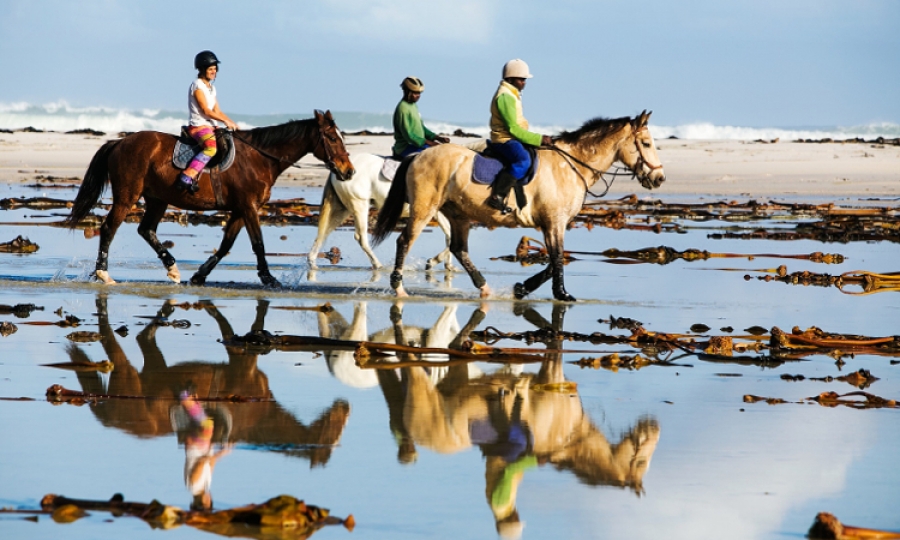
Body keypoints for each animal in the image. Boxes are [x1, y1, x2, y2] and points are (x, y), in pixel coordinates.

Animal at [66, 109, 356, 286]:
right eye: (332, 138)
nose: (348, 171)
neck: (260, 157)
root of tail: (119, 142)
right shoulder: (249, 207)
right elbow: (258, 243)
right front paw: (268, 278)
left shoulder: (240, 209)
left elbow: (226, 245)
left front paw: (200, 275)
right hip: (127, 197)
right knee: (109, 228)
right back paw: (103, 273)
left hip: (158, 199)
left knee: (146, 229)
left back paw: (172, 268)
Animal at [308, 152, 458, 270]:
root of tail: (341, 171)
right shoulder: (437, 212)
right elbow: (451, 237)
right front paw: (433, 261)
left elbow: (450, 236)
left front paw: (448, 265)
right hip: (359, 206)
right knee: (360, 237)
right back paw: (377, 264)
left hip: (342, 209)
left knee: (323, 233)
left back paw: (312, 262)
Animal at [370, 111, 664, 302]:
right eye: (646, 143)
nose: (659, 178)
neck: (570, 165)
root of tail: (418, 155)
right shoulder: (554, 223)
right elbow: (557, 260)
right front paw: (561, 294)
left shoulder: (552, 224)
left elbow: (554, 261)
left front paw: (521, 288)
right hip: (424, 208)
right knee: (405, 241)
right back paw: (398, 288)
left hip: (458, 215)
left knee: (458, 249)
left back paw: (484, 289)